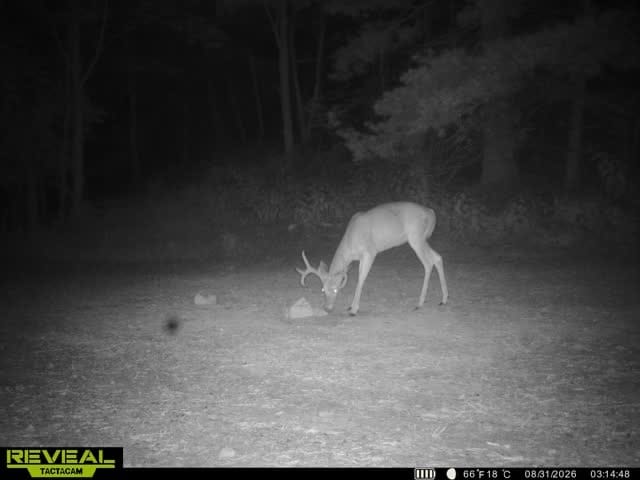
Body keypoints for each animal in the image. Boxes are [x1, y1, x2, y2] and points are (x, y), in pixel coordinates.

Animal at [296, 202, 448, 316]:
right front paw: (350, 306)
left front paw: (353, 309)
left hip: (416, 237)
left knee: (428, 263)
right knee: (437, 257)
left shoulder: (370, 252)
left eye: (335, 290)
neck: (350, 244)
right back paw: (444, 299)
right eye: (323, 290)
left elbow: (361, 278)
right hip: (422, 239)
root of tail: (431, 213)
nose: (327, 308)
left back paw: (419, 303)